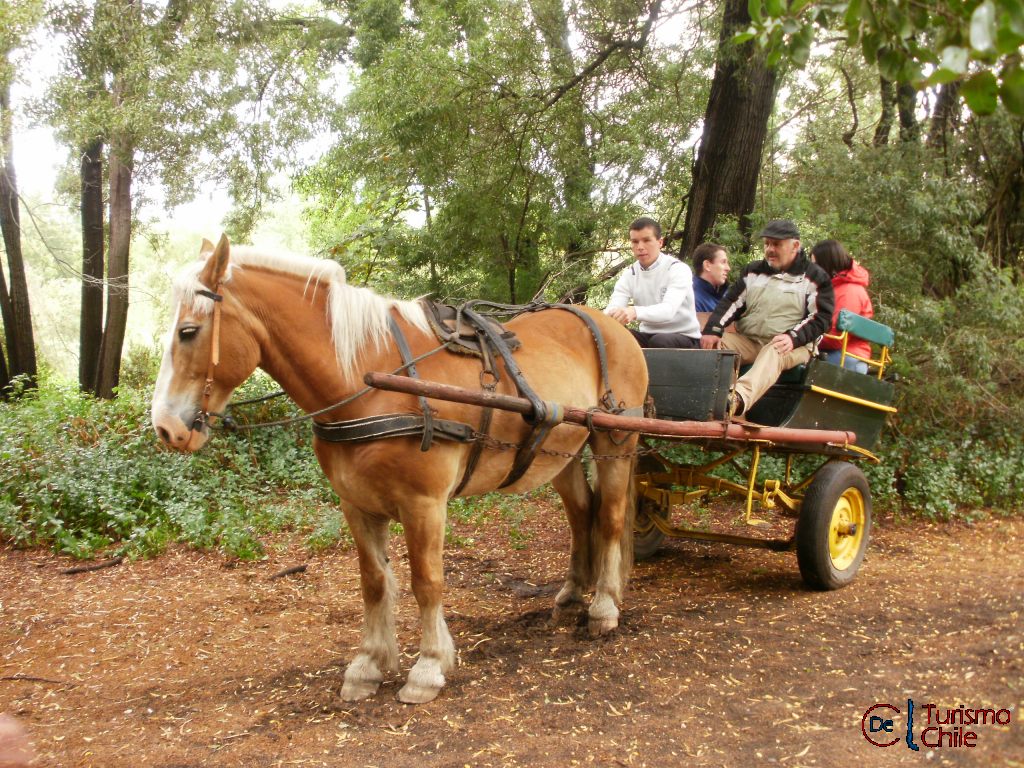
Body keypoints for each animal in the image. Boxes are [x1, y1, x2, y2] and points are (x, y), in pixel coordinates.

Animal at [149, 237, 647, 708]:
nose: (166, 427)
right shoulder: (356, 504)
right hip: (560, 452)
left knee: (610, 516)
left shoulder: (423, 504)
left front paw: (428, 667)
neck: (370, 381)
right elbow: (373, 583)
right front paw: (368, 664)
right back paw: (572, 594)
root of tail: (610, 325)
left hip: (615, 443)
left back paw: (604, 606)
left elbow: (426, 582)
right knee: (582, 515)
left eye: (188, 331)